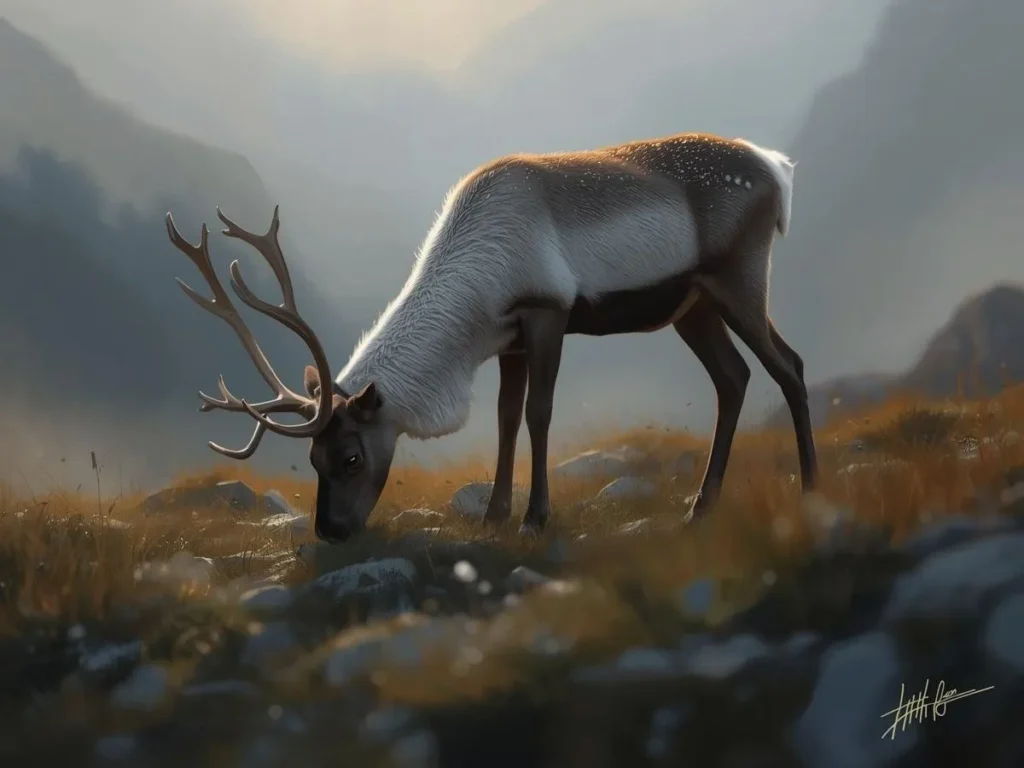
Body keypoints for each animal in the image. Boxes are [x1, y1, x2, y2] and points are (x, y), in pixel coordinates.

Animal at [165, 132, 818, 543]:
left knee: (788, 364)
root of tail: (778, 169)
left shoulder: (546, 310)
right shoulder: (509, 338)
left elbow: (538, 413)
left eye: (351, 456)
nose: (330, 531)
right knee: (734, 378)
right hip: (693, 306)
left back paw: (810, 484)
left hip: (738, 277)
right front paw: (495, 516)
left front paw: (535, 517)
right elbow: (504, 417)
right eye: (311, 459)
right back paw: (699, 507)